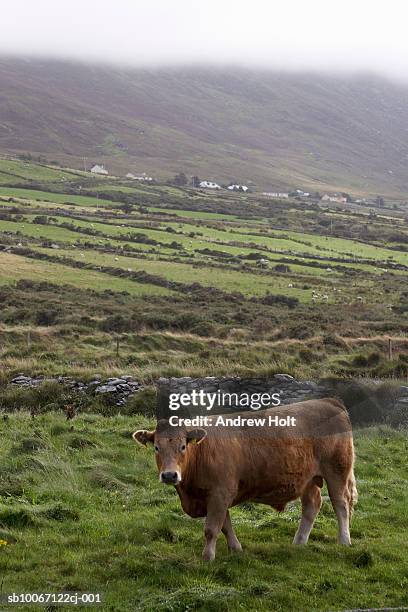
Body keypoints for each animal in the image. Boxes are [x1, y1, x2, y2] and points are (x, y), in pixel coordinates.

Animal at [134, 400, 356, 560]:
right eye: (156, 448)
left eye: (182, 446)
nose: (169, 475)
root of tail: (329, 401)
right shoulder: (216, 496)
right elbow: (225, 525)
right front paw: (235, 548)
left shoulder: (219, 493)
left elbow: (212, 528)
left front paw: (207, 557)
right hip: (308, 479)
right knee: (312, 505)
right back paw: (299, 542)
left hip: (337, 471)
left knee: (341, 504)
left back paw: (344, 540)